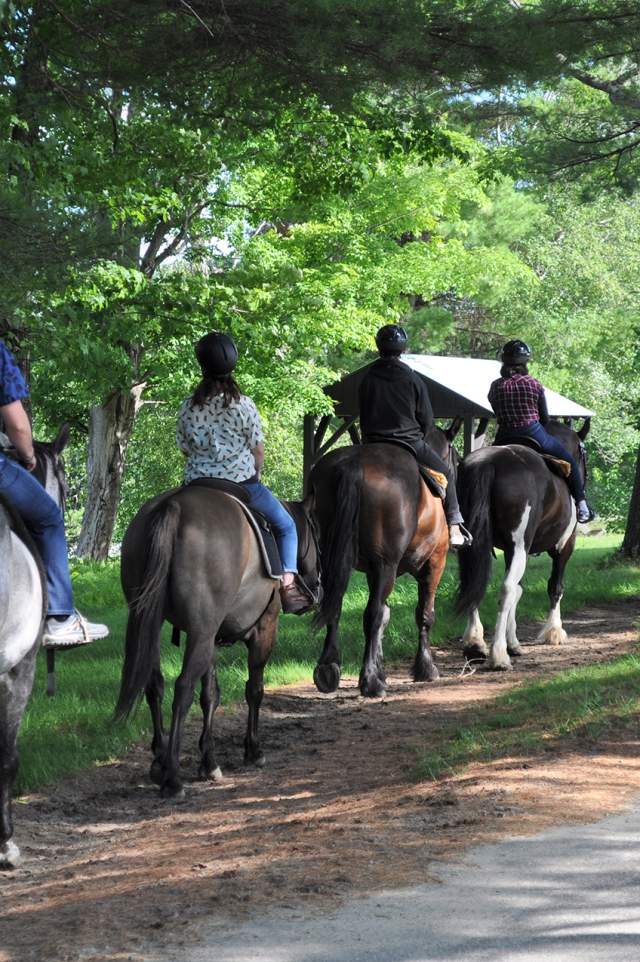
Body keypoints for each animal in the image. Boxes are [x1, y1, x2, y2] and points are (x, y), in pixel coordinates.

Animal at [115, 484, 320, 800]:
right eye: (316, 535)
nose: (317, 585)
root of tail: (173, 506)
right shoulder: (264, 627)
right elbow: (254, 689)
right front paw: (253, 750)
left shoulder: (211, 636)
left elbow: (211, 694)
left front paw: (209, 762)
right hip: (201, 632)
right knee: (182, 688)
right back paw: (172, 778)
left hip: (154, 622)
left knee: (155, 685)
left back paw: (160, 760)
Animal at [306, 424, 460, 692]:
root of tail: (353, 463)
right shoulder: (434, 563)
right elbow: (424, 614)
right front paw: (425, 668)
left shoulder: (371, 571)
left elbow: (386, 616)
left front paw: (381, 667)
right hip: (387, 565)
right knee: (373, 613)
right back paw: (370, 682)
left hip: (333, 560)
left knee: (335, 605)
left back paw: (328, 668)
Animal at [456, 416, 592, 672]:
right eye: (583, 452)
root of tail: (488, 462)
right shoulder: (563, 547)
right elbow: (554, 587)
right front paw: (553, 631)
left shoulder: (513, 551)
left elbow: (520, 590)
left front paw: (514, 642)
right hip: (522, 547)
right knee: (506, 589)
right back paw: (498, 655)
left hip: (471, 544)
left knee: (474, 583)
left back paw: (475, 643)